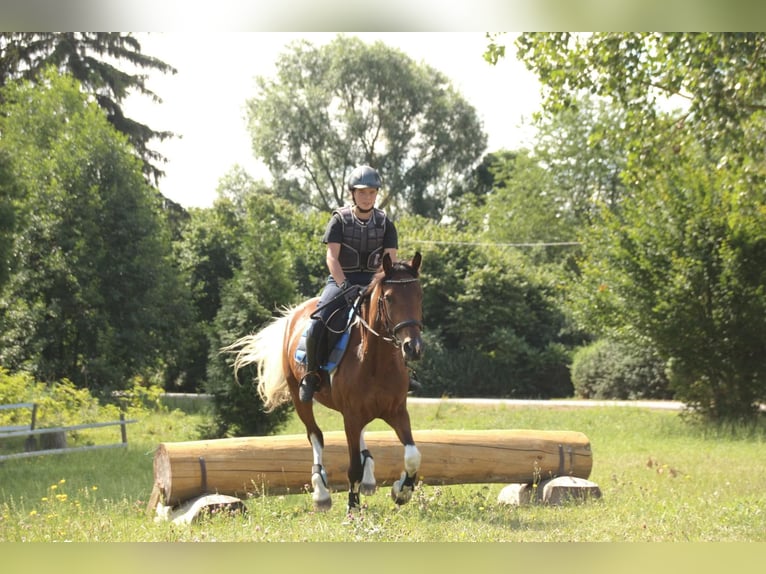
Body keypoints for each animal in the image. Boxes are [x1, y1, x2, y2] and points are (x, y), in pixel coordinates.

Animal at [225, 252, 428, 512]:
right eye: (389, 298)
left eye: (419, 296)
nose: (413, 348)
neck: (375, 360)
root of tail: (294, 313)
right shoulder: (350, 415)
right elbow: (353, 467)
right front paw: (353, 508)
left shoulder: (397, 411)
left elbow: (413, 455)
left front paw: (401, 492)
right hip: (300, 397)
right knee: (315, 435)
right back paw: (321, 492)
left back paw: (369, 478)